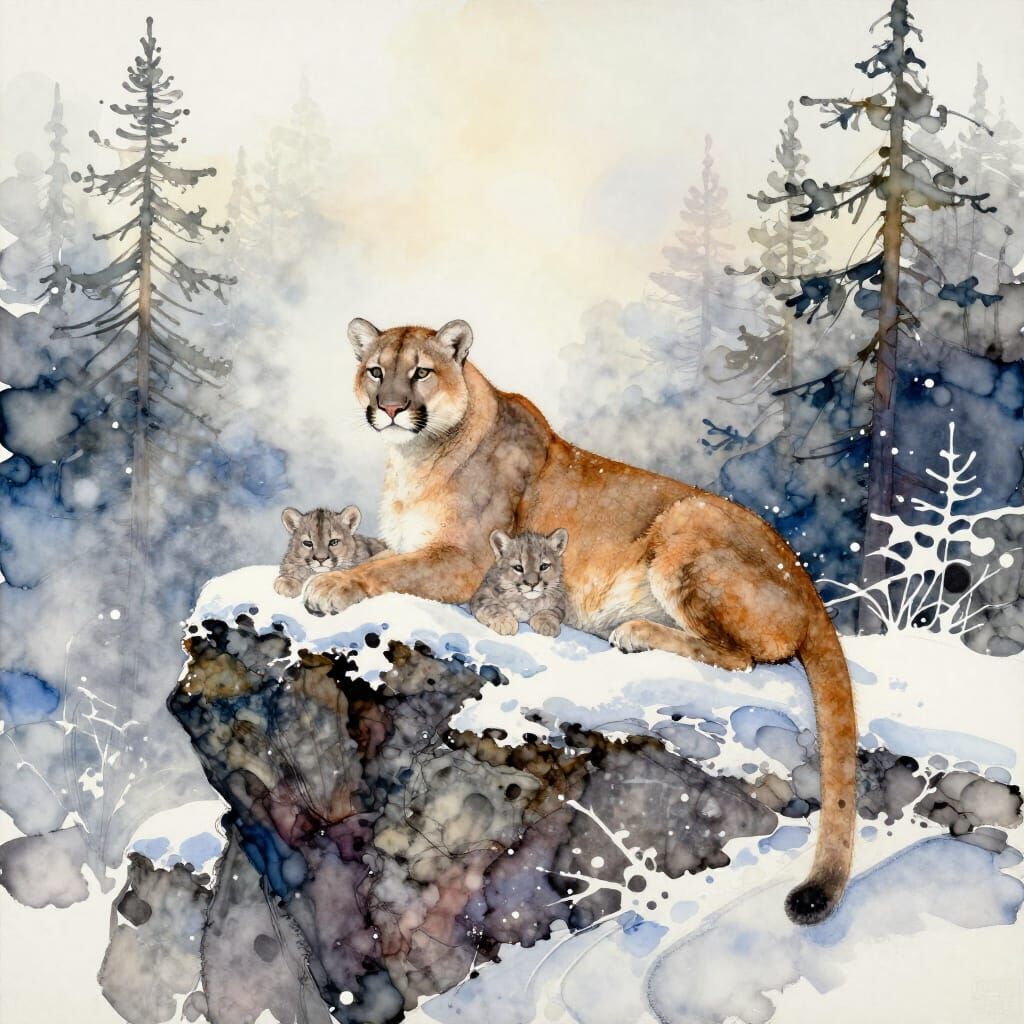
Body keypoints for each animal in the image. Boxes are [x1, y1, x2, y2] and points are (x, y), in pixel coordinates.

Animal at [303, 317, 857, 925]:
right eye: (376, 370)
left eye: (421, 372)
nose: (391, 408)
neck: (413, 458)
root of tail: (805, 581)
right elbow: (378, 555)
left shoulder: (464, 560)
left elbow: (388, 570)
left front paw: (329, 587)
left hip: (684, 523)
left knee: (740, 657)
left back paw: (634, 633)